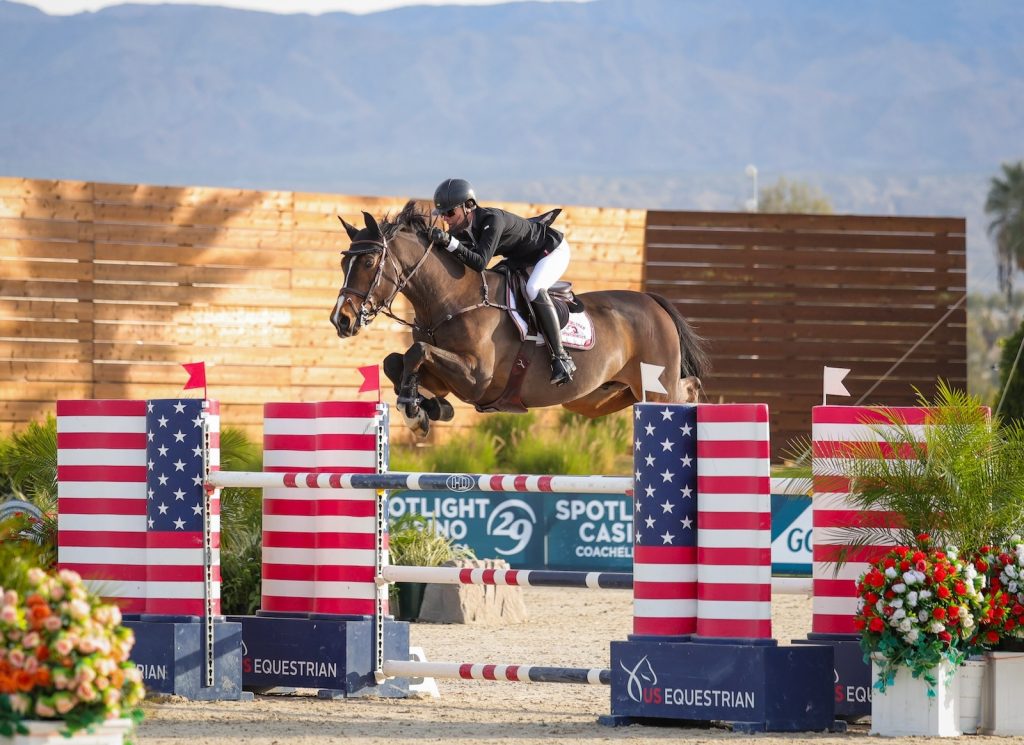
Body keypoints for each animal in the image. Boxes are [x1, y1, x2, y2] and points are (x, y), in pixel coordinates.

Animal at [330, 201, 708, 437]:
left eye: (368, 262)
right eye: (343, 263)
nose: (341, 320)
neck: (453, 299)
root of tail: (653, 303)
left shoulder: (476, 377)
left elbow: (417, 352)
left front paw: (415, 410)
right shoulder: (448, 377)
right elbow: (396, 361)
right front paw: (428, 409)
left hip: (655, 386)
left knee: (684, 389)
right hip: (601, 397)